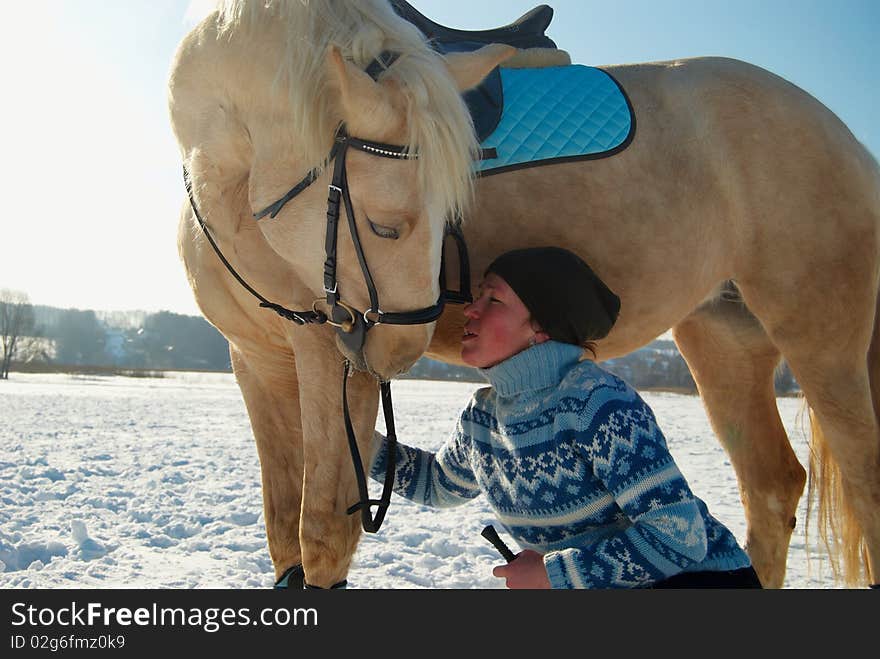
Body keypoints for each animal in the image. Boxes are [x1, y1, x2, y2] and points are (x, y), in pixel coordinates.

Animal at [167, 0, 880, 588]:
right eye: (387, 225)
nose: (395, 358)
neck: (230, 181)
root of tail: (840, 131)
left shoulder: (326, 357)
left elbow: (321, 534)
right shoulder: (257, 361)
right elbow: (281, 529)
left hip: (820, 337)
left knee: (862, 483)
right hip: (723, 339)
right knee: (771, 487)